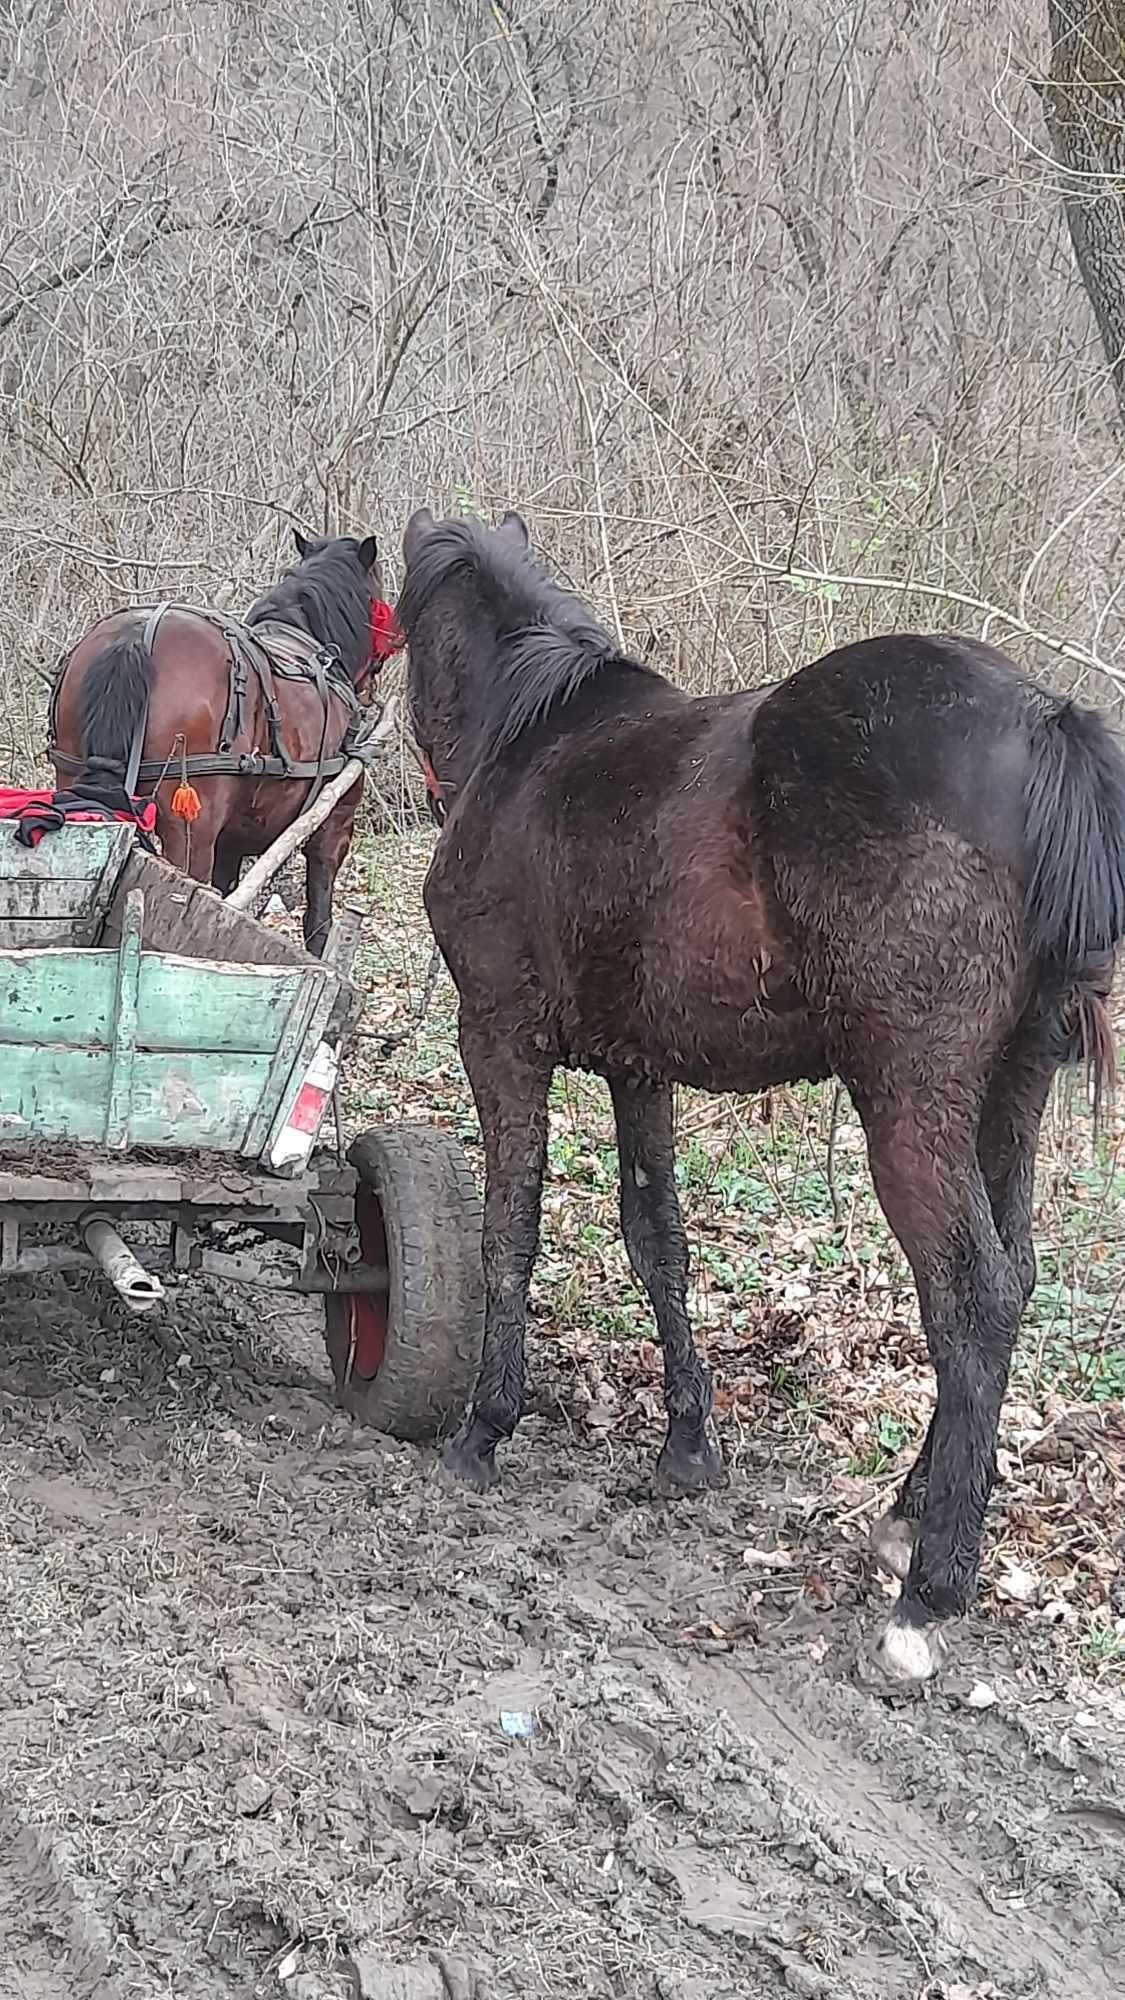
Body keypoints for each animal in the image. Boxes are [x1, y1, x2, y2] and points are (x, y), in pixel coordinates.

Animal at [53, 532, 402, 952]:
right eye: (379, 590)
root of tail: (139, 634)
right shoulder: (334, 824)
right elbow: (318, 917)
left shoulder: (232, 841)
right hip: (189, 826)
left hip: (72, 779)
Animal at [394, 504, 1120, 1688]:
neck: (534, 735)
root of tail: (1045, 722)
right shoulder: (637, 1067)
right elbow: (658, 1240)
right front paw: (688, 1443)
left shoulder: (500, 1038)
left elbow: (511, 1227)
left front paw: (483, 1428)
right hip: (1011, 1097)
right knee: (1011, 1278)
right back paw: (910, 1516)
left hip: (910, 1107)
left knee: (971, 1300)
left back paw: (928, 1592)